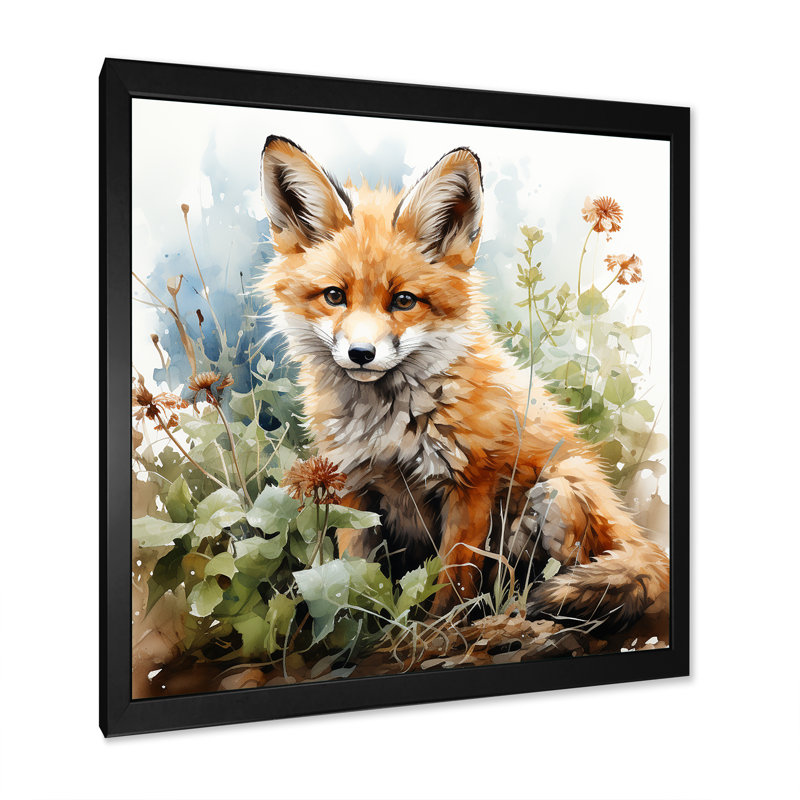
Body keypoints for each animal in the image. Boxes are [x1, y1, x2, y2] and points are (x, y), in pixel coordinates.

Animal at [259, 134, 669, 630]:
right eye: (335, 296)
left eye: (404, 301)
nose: (361, 354)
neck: (390, 428)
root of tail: (633, 530)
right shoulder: (351, 487)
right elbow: (353, 574)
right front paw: (355, 632)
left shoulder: (470, 484)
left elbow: (453, 580)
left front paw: (436, 631)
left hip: (554, 493)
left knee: (565, 569)